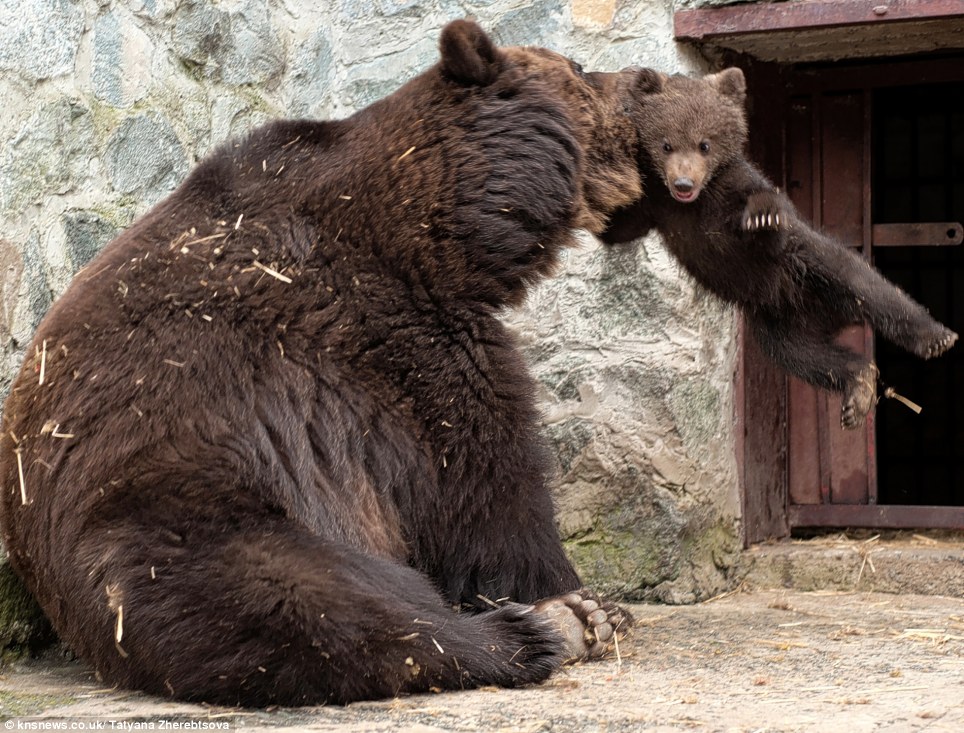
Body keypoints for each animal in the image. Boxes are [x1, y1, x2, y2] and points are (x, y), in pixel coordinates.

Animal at [1, 21, 648, 704]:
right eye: (580, 66)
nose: (642, 80)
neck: (443, 229)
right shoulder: (397, 340)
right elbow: (489, 486)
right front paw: (580, 596)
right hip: (173, 511)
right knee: (312, 602)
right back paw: (541, 630)